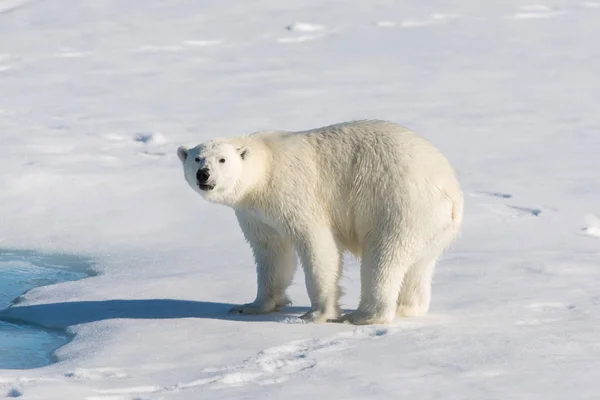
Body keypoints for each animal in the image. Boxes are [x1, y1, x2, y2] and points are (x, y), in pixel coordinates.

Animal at [178, 119, 464, 324]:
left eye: (222, 159)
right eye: (197, 158)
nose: (204, 174)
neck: (265, 168)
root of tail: (450, 191)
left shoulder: (294, 191)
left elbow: (317, 244)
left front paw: (318, 314)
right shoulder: (254, 213)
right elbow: (271, 251)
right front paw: (252, 306)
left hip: (397, 204)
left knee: (384, 257)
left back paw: (363, 316)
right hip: (430, 225)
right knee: (419, 266)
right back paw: (406, 308)